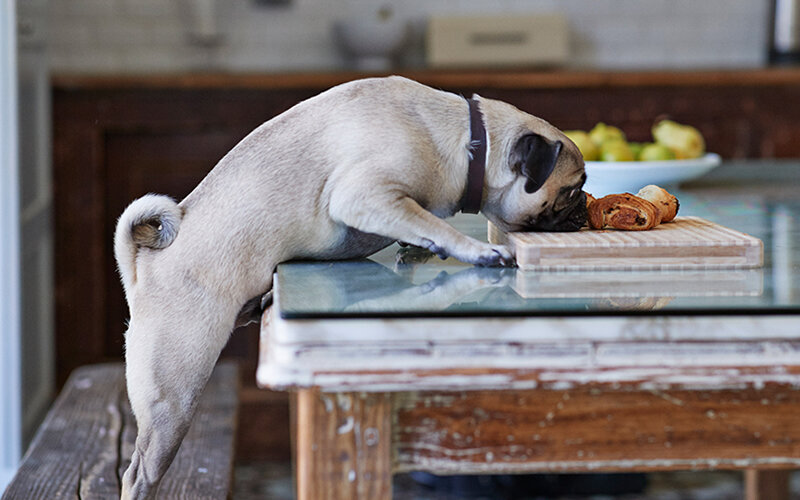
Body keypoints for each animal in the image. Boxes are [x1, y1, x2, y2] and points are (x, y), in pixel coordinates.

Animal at [115, 76, 584, 498]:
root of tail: (144, 266)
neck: (469, 143)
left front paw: (418, 250)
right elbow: (434, 224)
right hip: (174, 399)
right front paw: (475, 250)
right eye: (571, 190)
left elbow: (420, 228)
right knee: (138, 472)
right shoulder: (366, 196)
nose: (584, 206)